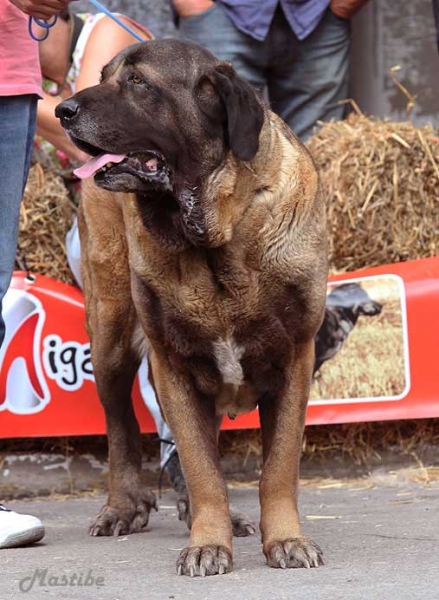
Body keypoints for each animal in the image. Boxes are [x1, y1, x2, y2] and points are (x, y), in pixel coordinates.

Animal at [55, 38, 326, 576]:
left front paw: (286, 540)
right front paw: (207, 544)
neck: (215, 236)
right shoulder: (173, 365)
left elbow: (278, 466)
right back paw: (122, 507)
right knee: (121, 425)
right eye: (103, 75)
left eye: (138, 82)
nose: (63, 110)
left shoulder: (295, 358)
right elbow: (202, 468)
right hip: (111, 332)